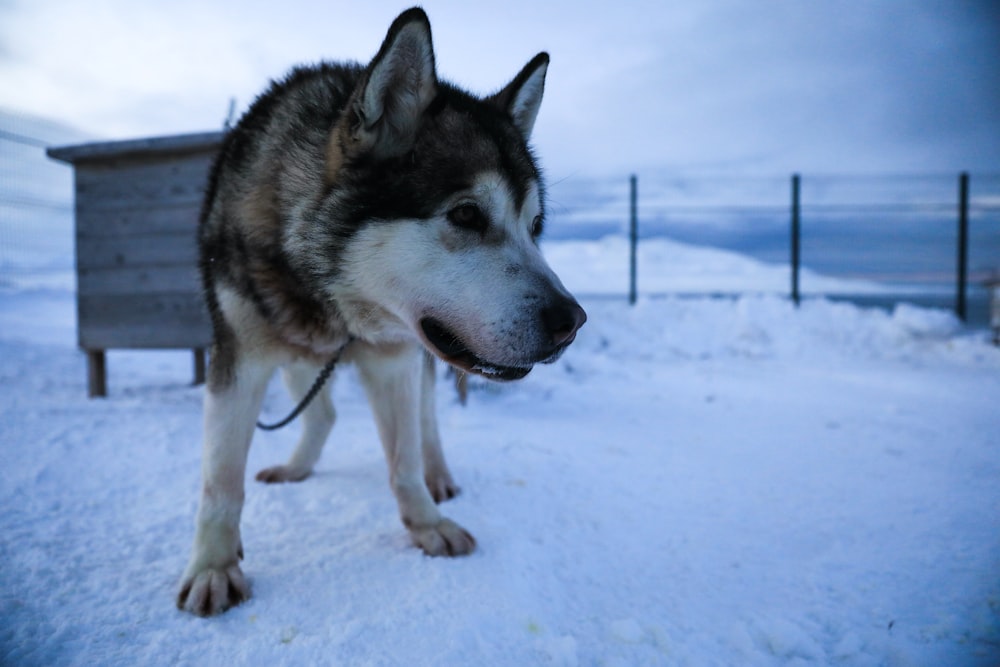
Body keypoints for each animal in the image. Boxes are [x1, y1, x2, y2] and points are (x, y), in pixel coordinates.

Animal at [178, 7, 584, 620]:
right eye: (467, 214)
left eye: (534, 227)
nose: (572, 322)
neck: (340, 306)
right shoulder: (238, 357)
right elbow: (219, 480)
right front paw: (213, 567)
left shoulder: (395, 360)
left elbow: (404, 460)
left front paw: (427, 525)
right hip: (292, 354)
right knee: (321, 415)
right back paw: (298, 467)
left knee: (426, 425)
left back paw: (438, 475)